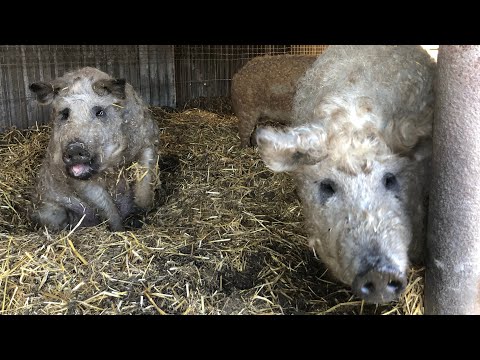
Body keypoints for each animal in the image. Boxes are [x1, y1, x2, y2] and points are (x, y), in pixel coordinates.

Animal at [29, 66, 160, 232]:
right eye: (64, 113)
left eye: (99, 111)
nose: (74, 148)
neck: (113, 166)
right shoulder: (75, 180)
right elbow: (106, 207)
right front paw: (120, 230)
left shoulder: (148, 142)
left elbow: (145, 184)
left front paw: (140, 215)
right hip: (49, 210)